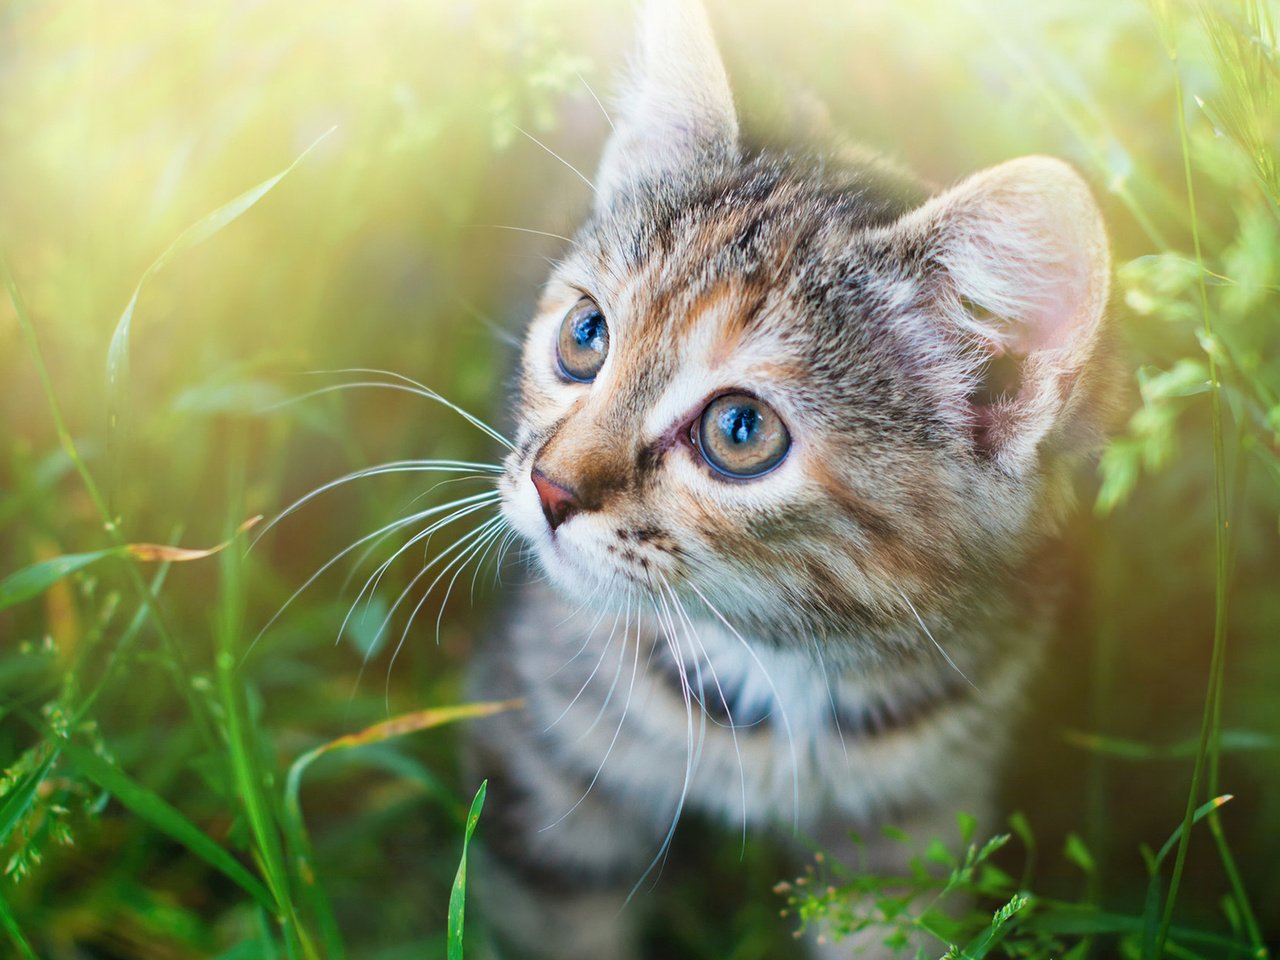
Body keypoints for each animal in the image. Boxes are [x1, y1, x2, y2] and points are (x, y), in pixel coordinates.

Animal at [468, 3, 1111, 957]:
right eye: (585, 336)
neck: (780, 669)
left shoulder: (914, 833)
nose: (549, 487)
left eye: (741, 430)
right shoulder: (543, 762)